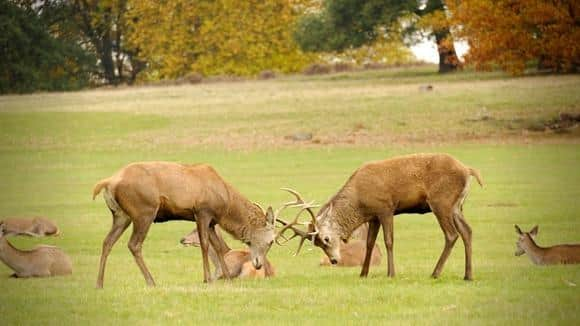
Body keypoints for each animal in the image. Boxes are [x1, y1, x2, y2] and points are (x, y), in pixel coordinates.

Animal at [92, 162, 278, 286]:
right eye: (271, 241)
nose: (258, 264)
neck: (226, 205)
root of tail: (108, 183)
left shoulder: (211, 222)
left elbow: (217, 247)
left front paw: (227, 278)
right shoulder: (202, 212)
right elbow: (205, 245)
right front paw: (207, 279)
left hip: (121, 215)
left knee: (107, 241)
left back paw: (99, 283)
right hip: (144, 212)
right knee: (134, 244)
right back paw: (151, 281)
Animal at [276, 155, 480, 280]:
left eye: (326, 239)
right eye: (317, 244)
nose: (334, 260)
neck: (360, 202)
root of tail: (468, 170)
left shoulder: (385, 208)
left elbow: (389, 241)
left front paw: (391, 273)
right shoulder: (373, 217)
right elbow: (369, 243)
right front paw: (363, 273)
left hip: (441, 201)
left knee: (452, 234)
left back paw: (435, 273)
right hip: (456, 206)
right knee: (467, 231)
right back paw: (468, 275)